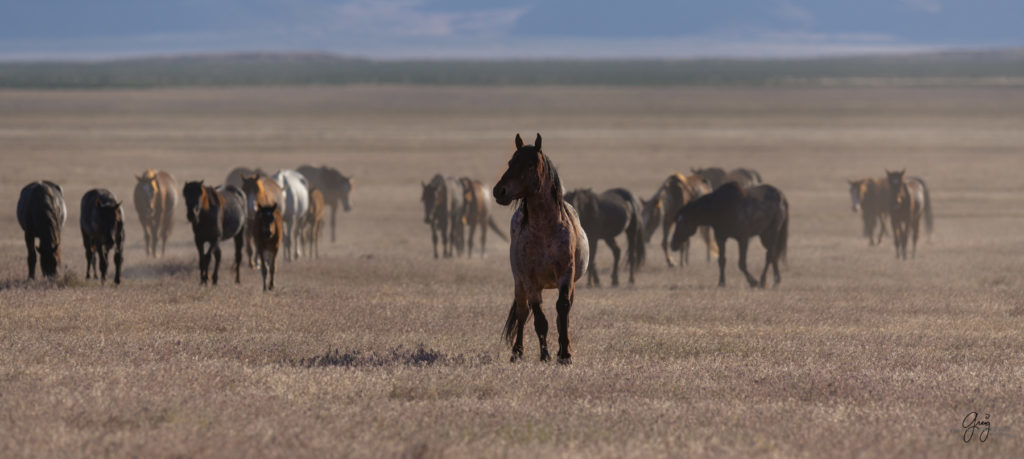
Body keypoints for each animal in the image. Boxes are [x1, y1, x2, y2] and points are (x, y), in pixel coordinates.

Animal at [491, 133, 589, 364]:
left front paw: (565, 354)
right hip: (519, 283)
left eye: (529, 164)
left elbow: (562, 310)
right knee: (522, 312)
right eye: (510, 162)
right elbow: (539, 319)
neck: (544, 229)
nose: (499, 191)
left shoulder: (566, 275)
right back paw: (516, 353)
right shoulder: (530, 280)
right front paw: (545, 355)